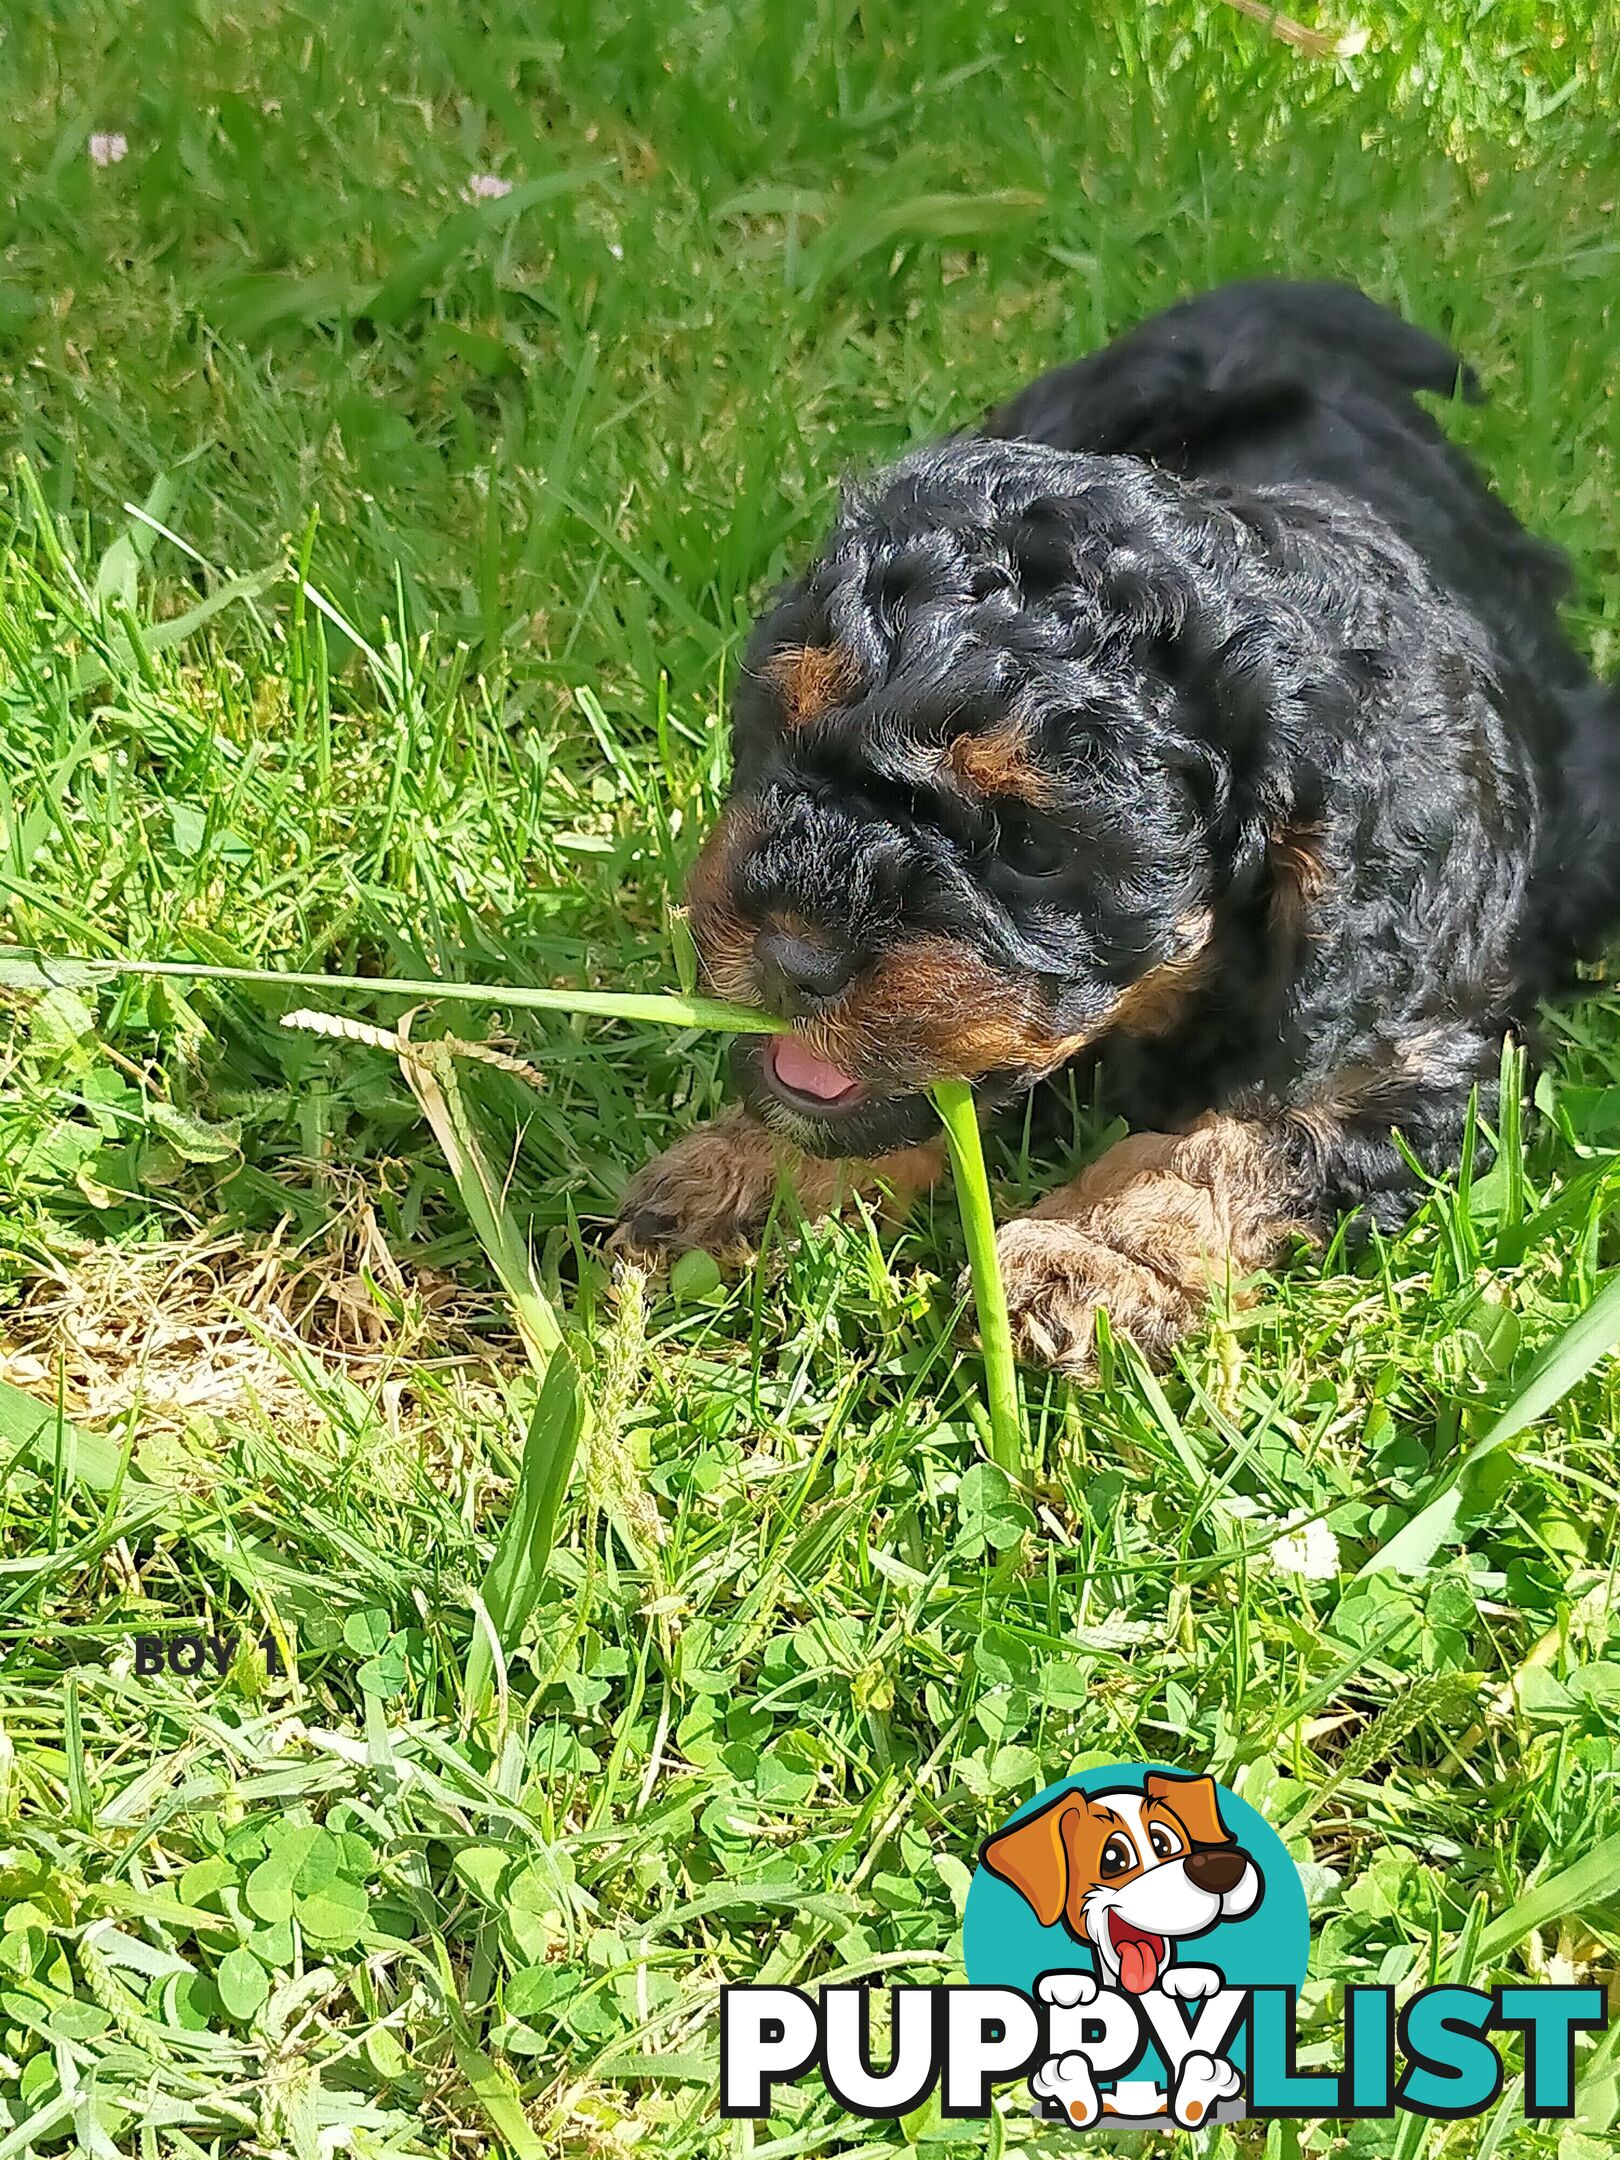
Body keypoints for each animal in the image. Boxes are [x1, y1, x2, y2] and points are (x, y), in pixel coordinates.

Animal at [613, 282, 1620, 1365]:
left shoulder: (1411, 1050)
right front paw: (746, 1176)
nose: (789, 958)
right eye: (783, 735)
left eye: (1034, 847)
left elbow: (1239, 1143)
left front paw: (1089, 1256)